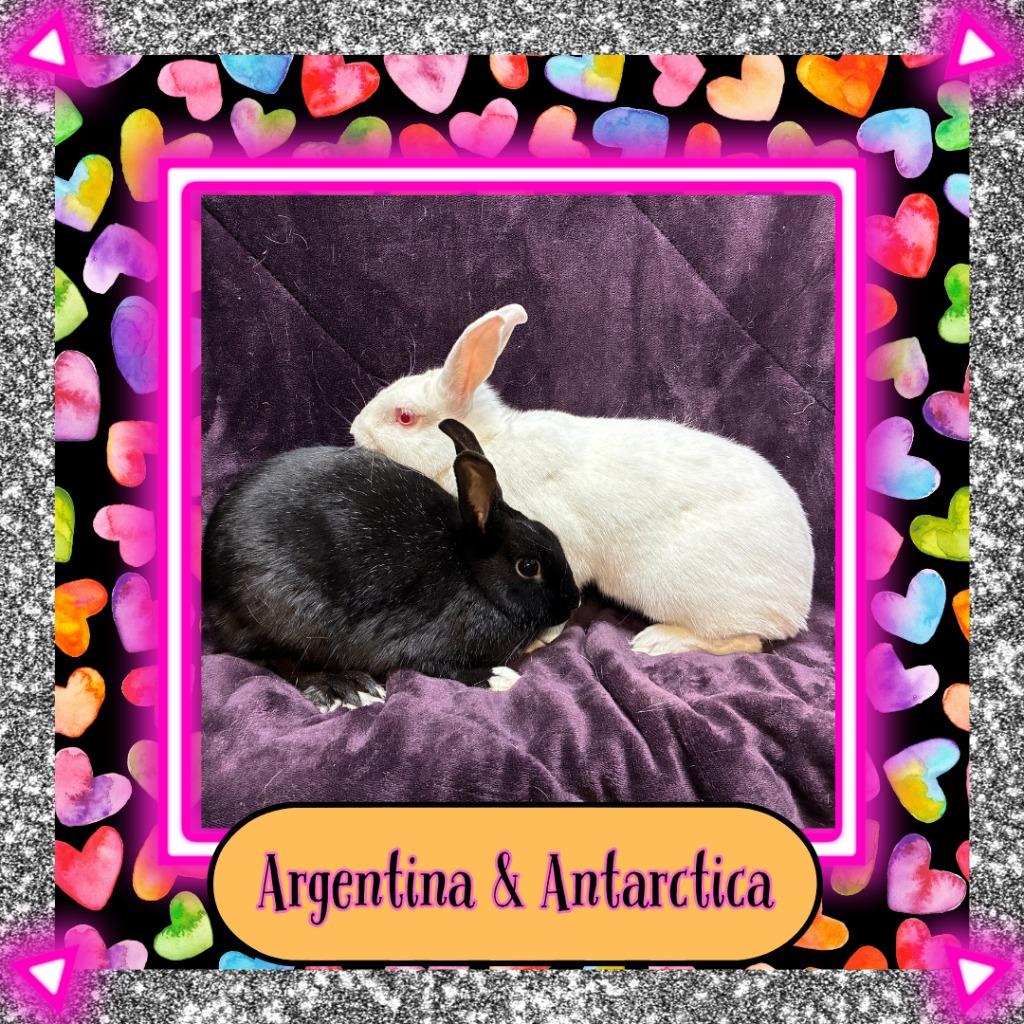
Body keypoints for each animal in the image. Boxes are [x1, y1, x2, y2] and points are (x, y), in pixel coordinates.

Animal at [202, 418, 581, 710]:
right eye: (528, 567)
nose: (574, 601)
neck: (474, 574)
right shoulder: (423, 645)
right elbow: (442, 669)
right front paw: (501, 677)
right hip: (281, 615)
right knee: (276, 661)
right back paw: (346, 688)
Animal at [350, 304, 814, 656]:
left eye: (404, 417)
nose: (355, 431)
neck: (491, 443)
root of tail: (799, 600)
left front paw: (539, 640)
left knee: (745, 642)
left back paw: (656, 641)